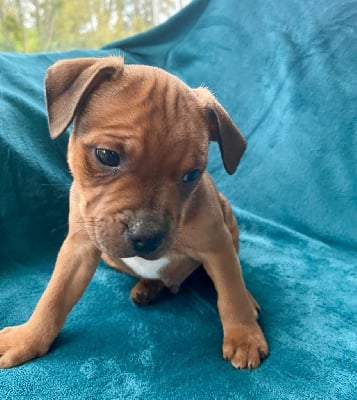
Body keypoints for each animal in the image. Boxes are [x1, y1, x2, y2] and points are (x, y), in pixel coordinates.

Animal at [0, 56, 268, 368]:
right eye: (106, 156)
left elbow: (230, 292)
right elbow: (54, 296)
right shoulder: (79, 248)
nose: (146, 236)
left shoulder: (217, 245)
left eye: (191, 175)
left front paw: (244, 336)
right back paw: (147, 288)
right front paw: (28, 338)